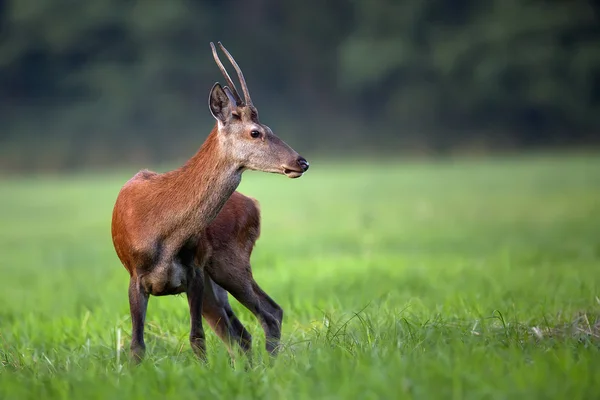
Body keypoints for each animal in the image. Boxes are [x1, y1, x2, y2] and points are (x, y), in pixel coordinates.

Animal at [111, 41, 310, 362]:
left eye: (267, 128)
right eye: (256, 132)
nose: (301, 162)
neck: (162, 230)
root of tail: (253, 204)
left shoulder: (193, 271)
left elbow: (197, 339)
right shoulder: (135, 275)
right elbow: (137, 346)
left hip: (231, 261)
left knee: (269, 313)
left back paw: (270, 366)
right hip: (217, 279)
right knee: (242, 330)